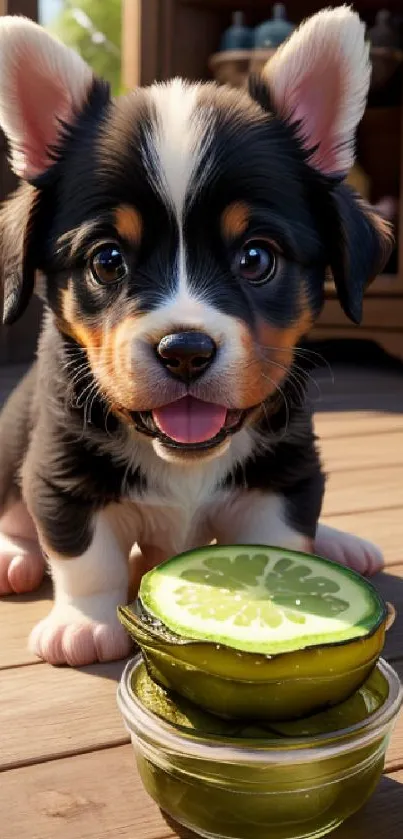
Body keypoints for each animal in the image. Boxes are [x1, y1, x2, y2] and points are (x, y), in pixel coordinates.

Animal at [0, 4, 392, 664]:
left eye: (256, 257)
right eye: (108, 260)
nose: (184, 351)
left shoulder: (282, 477)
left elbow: (281, 540)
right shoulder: (59, 471)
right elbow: (85, 556)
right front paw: (83, 623)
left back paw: (340, 541)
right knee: (16, 516)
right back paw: (15, 556)